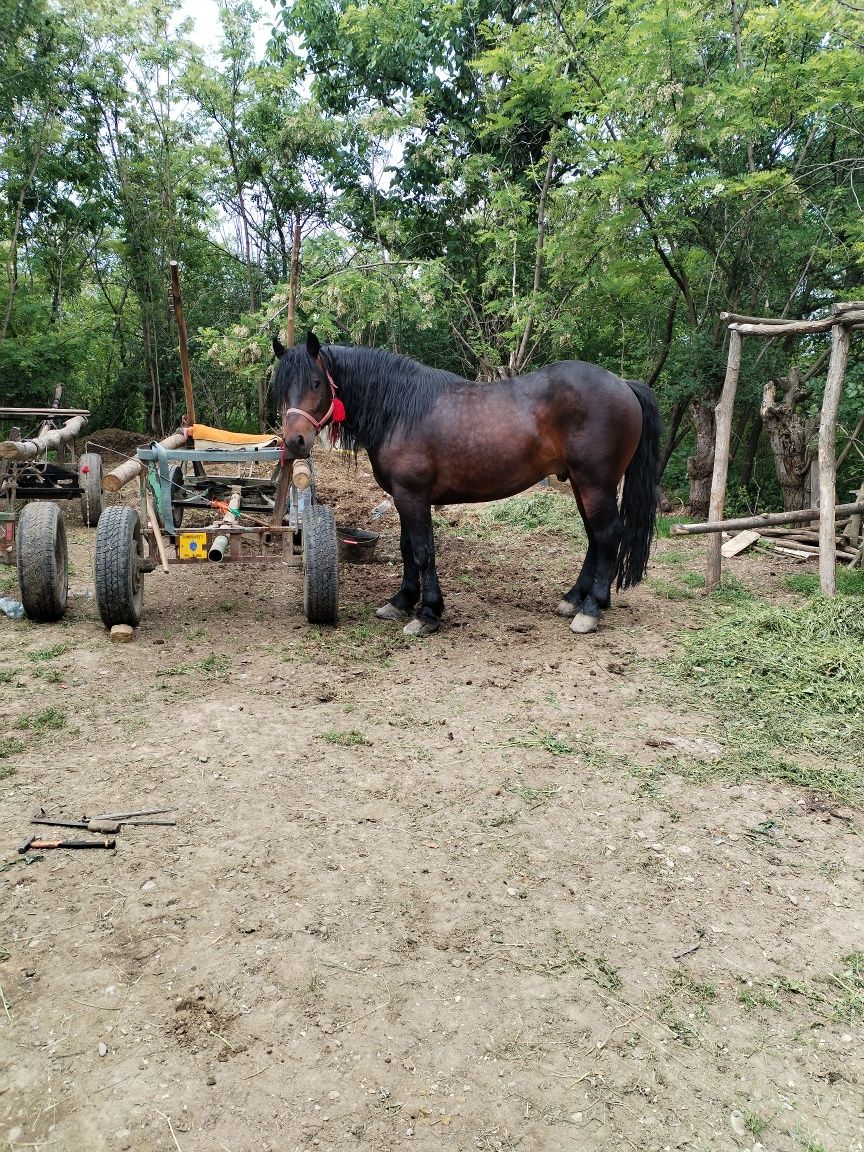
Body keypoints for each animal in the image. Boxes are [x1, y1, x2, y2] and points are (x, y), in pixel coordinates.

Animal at [274, 334, 658, 640]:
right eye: (282, 386)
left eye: (316, 383)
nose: (294, 442)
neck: (400, 410)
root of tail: (623, 383)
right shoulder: (402, 497)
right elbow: (406, 549)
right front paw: (401, 602)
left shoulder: (413, 496)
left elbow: (423, 551)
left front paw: (427, 614)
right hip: (581, 484)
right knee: (595, 538)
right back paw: (574, 599)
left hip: (596, 484)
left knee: (607, 536)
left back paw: (590, 610)